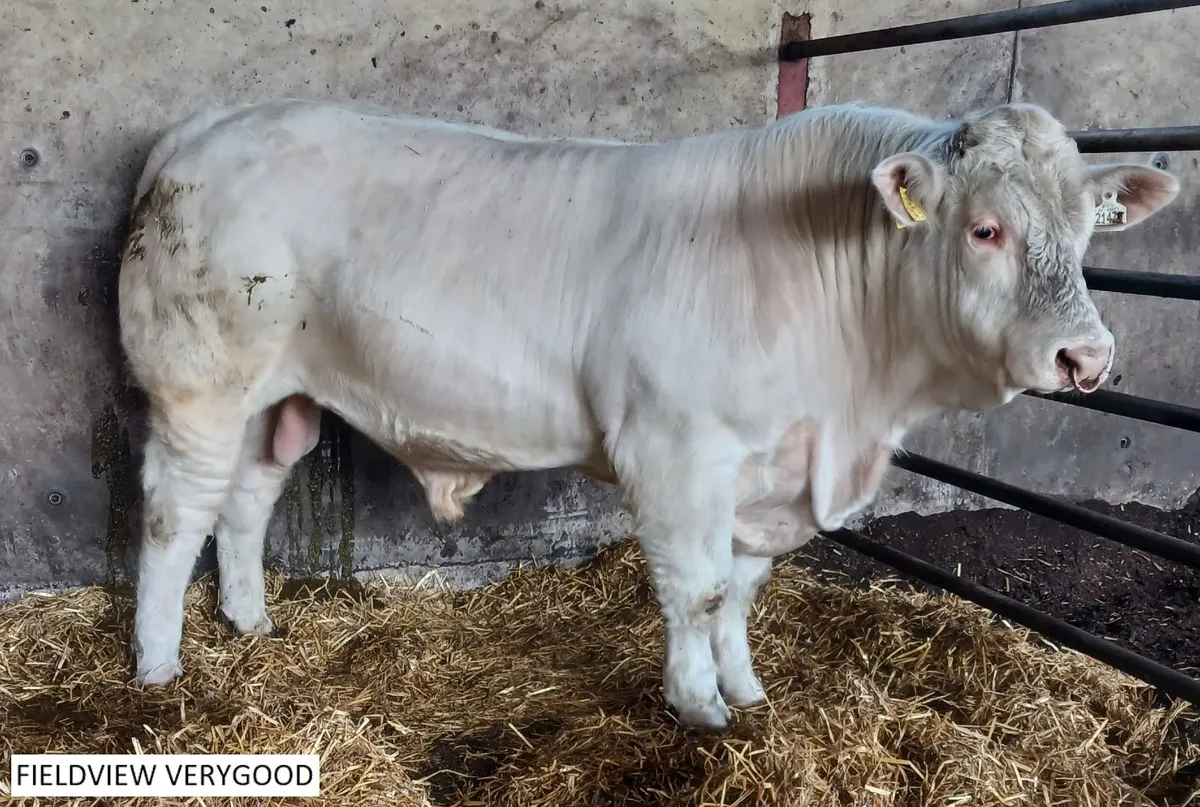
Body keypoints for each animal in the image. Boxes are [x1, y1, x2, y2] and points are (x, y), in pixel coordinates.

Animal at [117, 98, 1179, 730]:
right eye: (985, 229)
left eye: (1089, 230)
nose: (1086, 357)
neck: (853, 406)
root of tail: (204, 127)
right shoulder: (675, 449)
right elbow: (697, 589)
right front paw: (699, 706)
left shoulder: (767, 473)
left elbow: (742, 591)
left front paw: (746, 689)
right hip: (197, 384)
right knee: (174, 515)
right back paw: (159, 667)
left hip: (278, 398)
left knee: (245, 501)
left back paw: (252, 622)